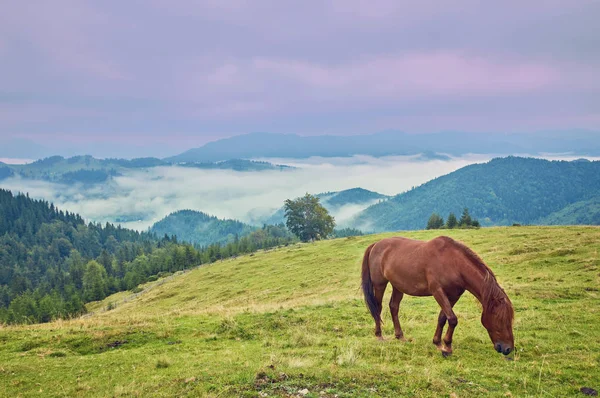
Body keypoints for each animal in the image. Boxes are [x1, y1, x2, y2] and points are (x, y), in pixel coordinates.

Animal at [360, 235, 516, 356]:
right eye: (501, 320)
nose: (508, 349)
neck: (453, 263)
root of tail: (376, 244)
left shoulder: (453, 295)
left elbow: (443, 318)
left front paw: (438, 342)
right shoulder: (438, 291)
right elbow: (452, 319)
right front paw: (447, 348)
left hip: (398, 286)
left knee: (394, 307)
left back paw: (400, 336)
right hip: (380, 284)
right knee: (378, 308)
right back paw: (379, 335)